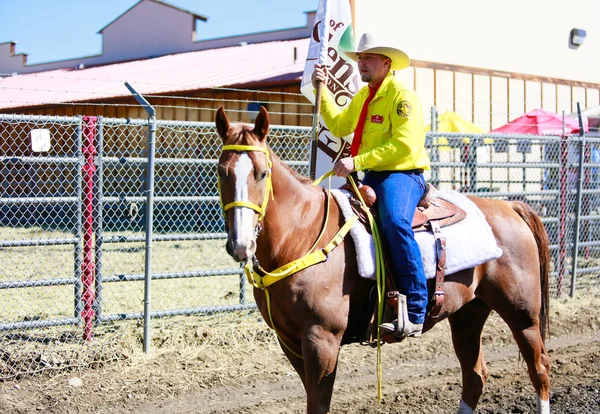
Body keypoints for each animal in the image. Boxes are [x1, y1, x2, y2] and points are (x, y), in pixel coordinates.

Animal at [214, 106, 548, 414]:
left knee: (539, 369)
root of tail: (509, 207)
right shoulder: (289, 341)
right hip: (468, 313)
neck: (301, 234)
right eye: (221, 172)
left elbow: (318, 404)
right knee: (475, 375)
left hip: (522, 313)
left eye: (262, 173)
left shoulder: (322, 340)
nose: (240, 245)